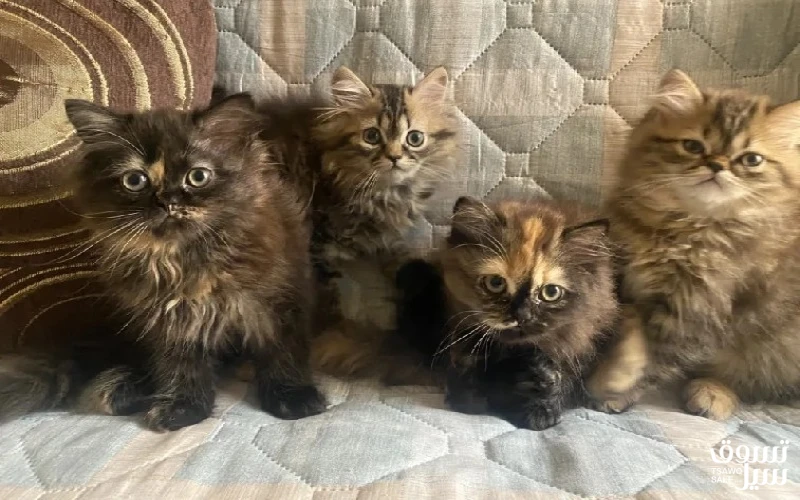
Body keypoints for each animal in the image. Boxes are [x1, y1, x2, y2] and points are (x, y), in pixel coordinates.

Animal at [0, 95, 327, 430]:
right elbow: (179, 365)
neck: (186, 259)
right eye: (135, 180)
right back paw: (124, 388)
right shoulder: (166, 320)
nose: (168, 201)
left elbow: (283, 353)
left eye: (198, 176)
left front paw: (293, 397)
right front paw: (183, 406)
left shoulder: (278, 303)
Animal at [397, 196, 618, 429]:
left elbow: (557, 378)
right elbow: (467, 367)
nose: (521, 315)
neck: (513, 352)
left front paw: (540, 412)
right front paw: (469, 398)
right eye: (495, 283)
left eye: (551, 292)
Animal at [587, 69, 800, 420]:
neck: (681, 229)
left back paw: (712, 394)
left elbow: (655, 362)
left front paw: (610, 389)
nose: (717, 165)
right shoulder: (628, 282)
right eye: (692, 146)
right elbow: (623, 332)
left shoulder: (698, 312)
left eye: (751, 159)